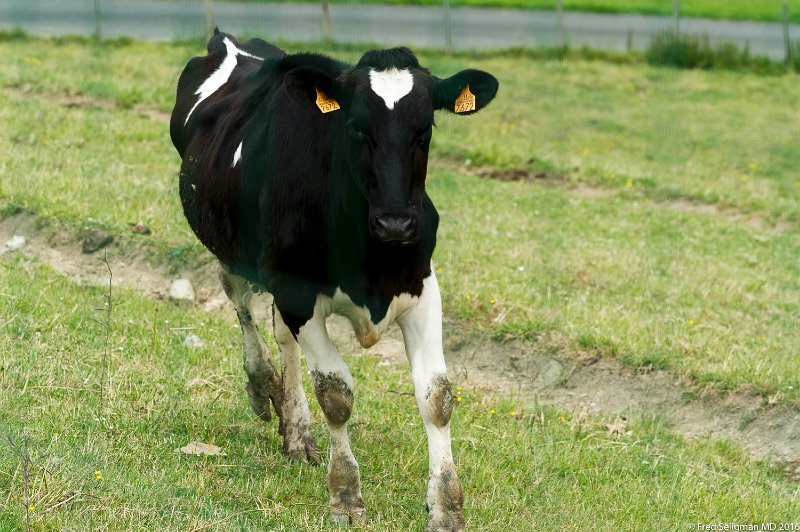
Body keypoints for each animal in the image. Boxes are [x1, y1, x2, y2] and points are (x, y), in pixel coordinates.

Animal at [169, 31, 496, 528]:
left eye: (425, 131)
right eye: (357, 127)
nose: (396, 223)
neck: (372, 260)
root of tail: (232, 42)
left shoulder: (422, 287)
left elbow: (436, 397)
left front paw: (446, 507)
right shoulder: (298, 292)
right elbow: (335, 393)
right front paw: (345, 494)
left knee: (281, 337)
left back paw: (297, 433)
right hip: (232, 251)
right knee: (244, 310)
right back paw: (263, 387)